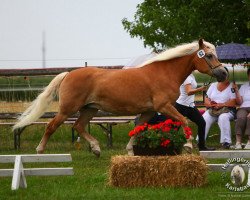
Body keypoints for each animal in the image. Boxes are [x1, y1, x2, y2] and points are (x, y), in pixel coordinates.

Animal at [12, 38, 227, 156]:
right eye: (209, 56)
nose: (224, 73)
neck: (165, 72)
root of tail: (68, 74)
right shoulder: (164, 106)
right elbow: (184, 120)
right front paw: (188, 146)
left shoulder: (149, 111)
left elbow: (139, 129)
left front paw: (130, 150)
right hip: (68, 109)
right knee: (52, 126)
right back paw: (40, 151)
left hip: (90, 109)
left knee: (79, 126)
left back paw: (96, 149)